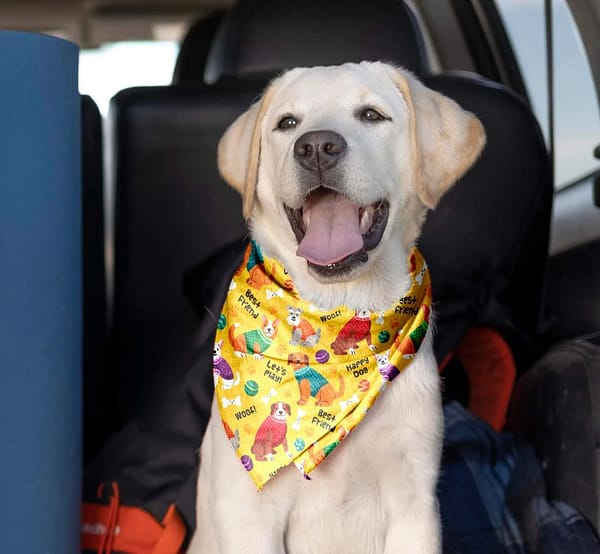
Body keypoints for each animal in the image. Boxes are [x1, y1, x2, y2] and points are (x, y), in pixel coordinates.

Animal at [190, 61, 486, 552]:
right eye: (287, 123)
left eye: (371, 115)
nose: (316, 147)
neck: (337, 310)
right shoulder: (248, 514)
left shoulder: (414, 505)